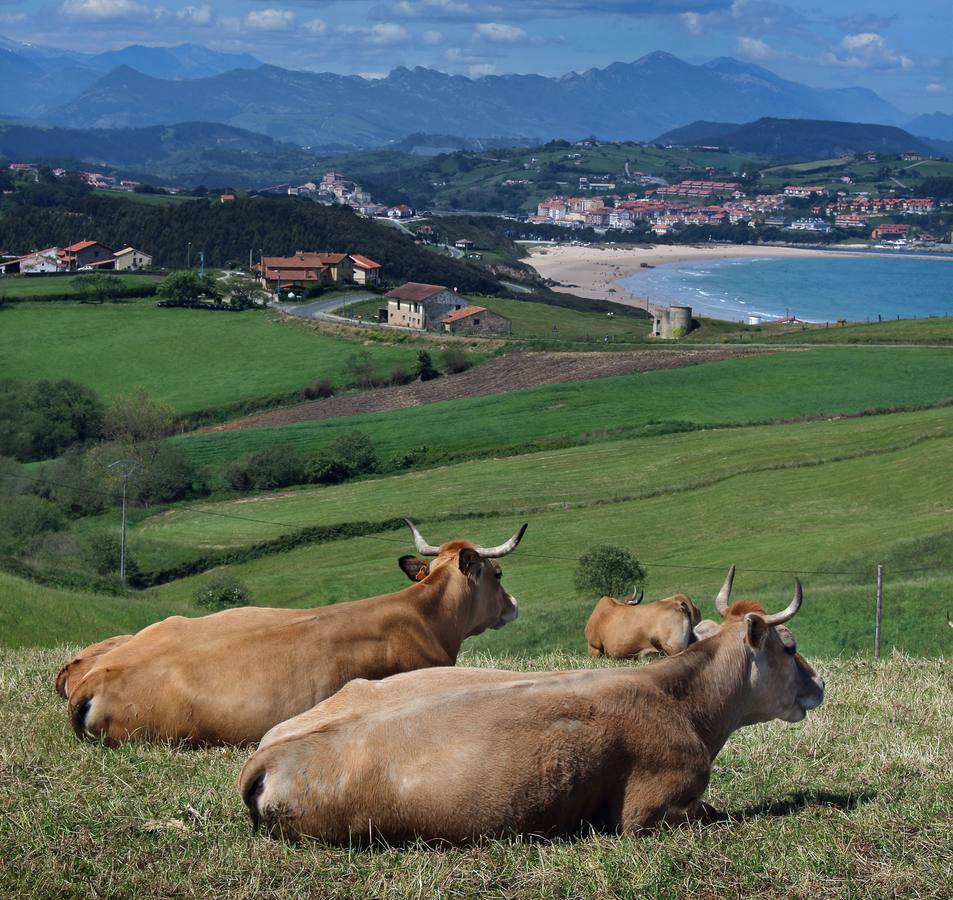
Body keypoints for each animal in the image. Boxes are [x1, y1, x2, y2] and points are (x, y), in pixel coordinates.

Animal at [240, 568, 824, 844]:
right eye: (789, 647)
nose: (818, 683)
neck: (680, 699)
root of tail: (267, 757)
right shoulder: (652, 809)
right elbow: (714, 814)